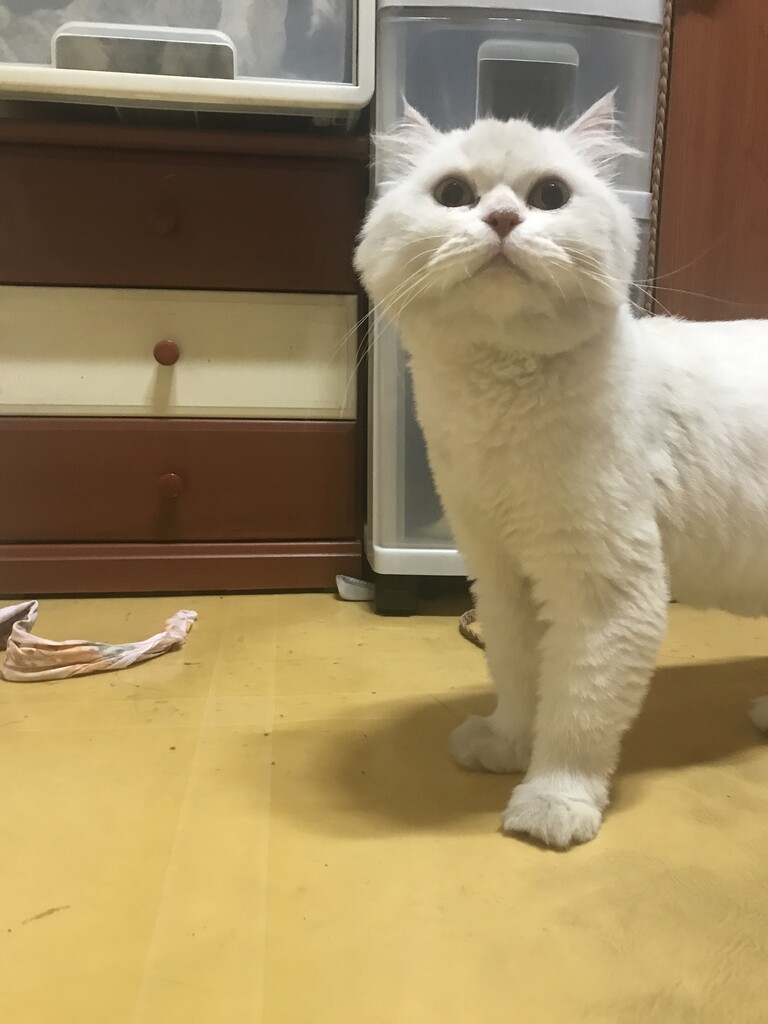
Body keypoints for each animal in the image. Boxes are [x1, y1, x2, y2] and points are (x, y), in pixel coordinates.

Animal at [354, 94, 768, 848]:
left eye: (549, 196)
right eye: (453, 195)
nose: (501, 220)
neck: (499, 406)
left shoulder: (606, 592)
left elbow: (579, 712)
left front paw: (552, 802)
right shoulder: (503, 578)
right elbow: (520, 681)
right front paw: (505, 745)